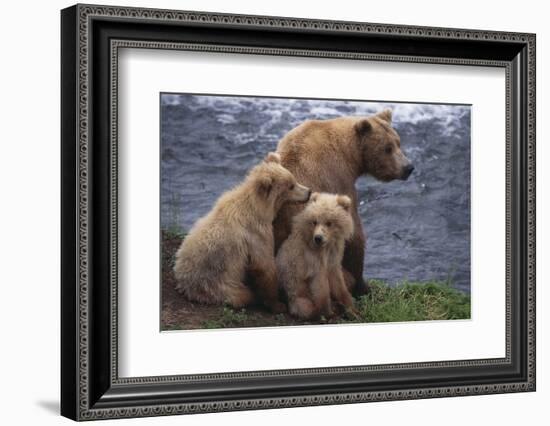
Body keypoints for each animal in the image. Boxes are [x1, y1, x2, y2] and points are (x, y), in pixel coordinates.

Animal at [174, 151, 310, 312]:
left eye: (293, 179)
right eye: (290, 186)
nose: (309, 192)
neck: (257, 208)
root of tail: (186, 286)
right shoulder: (256, 232)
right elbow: (264, 266)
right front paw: (278, 304)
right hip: (219, 286)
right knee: (243, 295)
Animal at [274, 110, 416, 296]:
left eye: (398, 143)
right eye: (387, 148)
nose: (408, 167)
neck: (350, 156)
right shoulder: (338, 179)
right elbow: (353, 235)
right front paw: (364, 287)